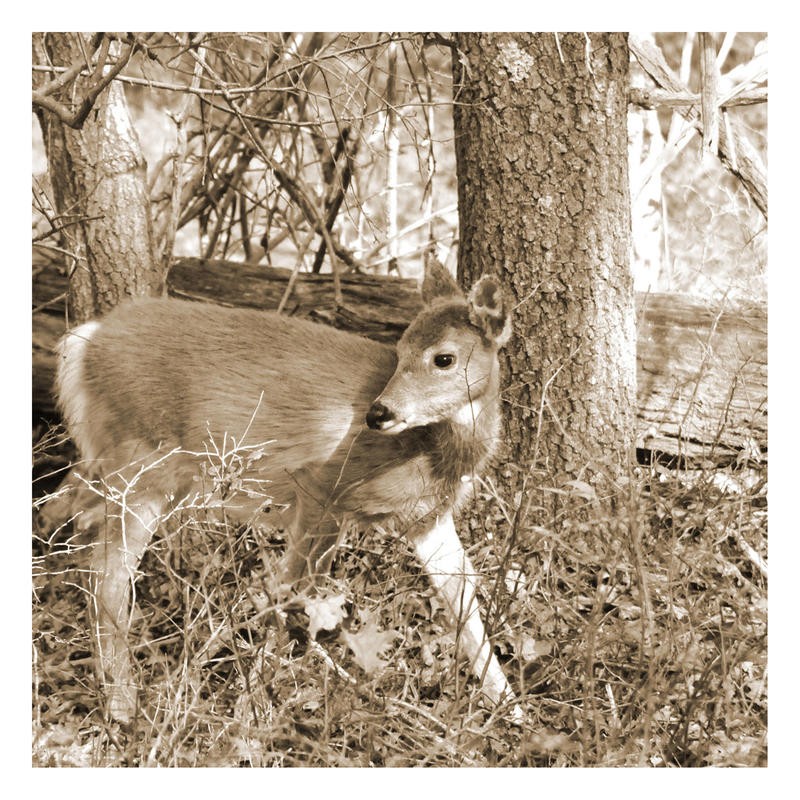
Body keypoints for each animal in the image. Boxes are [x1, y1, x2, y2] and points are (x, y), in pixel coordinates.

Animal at [52, 256, 519, 723]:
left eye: (444, 358)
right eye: (401, 351)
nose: (378, 413)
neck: (430, 453)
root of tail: (85, 338)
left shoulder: (427, 518)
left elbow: (465, 603)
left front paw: (510, 710)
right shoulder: (320, 486)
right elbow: (293, 592)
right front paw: (254, 706)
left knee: (73, 526)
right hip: (141, 462)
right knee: (108, 575)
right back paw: (122, 703)